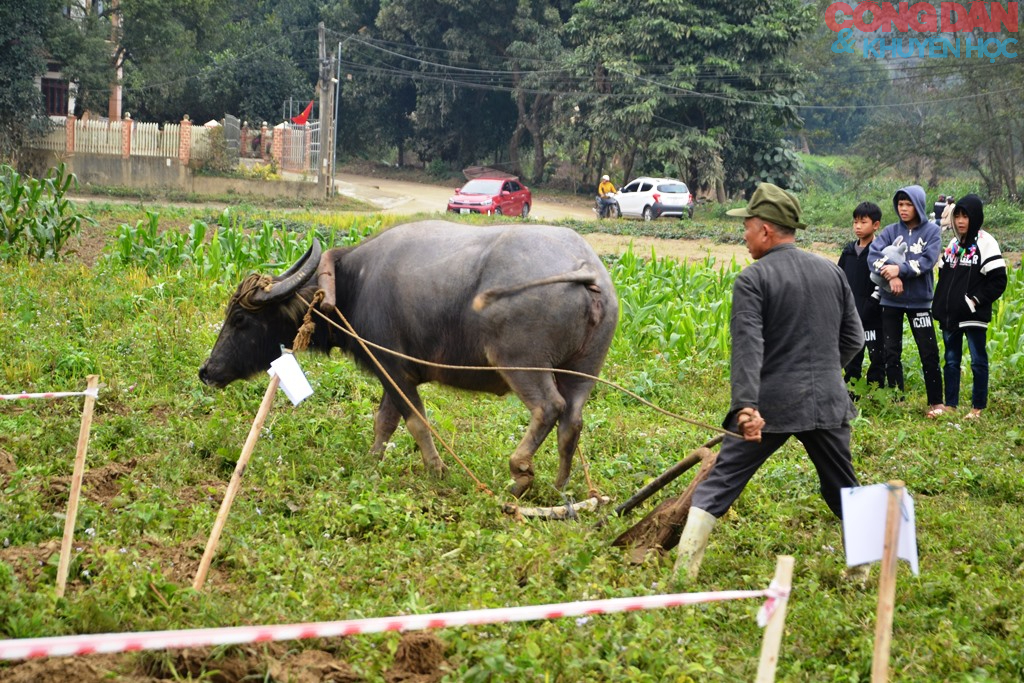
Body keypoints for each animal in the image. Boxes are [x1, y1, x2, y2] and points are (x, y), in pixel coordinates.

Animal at [197, 220, 614, 497]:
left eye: (240, 319)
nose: (207, 370)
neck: (352, 284)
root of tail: (586, 269)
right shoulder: (391, 375)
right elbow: (385, 421)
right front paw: (372, 461)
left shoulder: (395, 371)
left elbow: (415, 421)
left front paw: (436, 469)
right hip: (583, 370)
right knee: (572, 420)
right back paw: (560, 487)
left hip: (521, 363)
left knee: (549, 407)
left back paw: (520, 473)